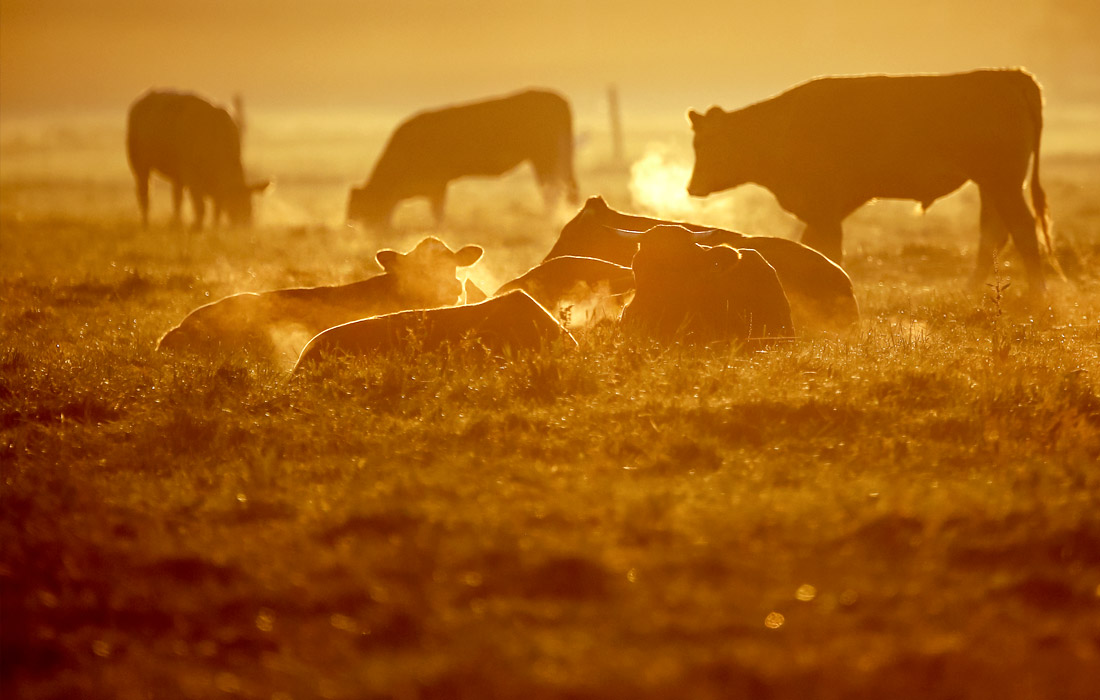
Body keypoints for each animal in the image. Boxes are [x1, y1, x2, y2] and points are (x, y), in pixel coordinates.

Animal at [127, 90, 269, 230]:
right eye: (235, 203)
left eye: (251, 205)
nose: (245, 224)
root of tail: (141, 101)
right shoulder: (192, 175)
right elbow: (200, 206)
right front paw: (197, 227)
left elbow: (216, 207)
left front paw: (214, 227)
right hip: (139, 164)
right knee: (144, 194)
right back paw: (146, 225)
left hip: (176, 174)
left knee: (177, 198)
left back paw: (177, 224)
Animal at [347, 89, 579, 228]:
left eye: (364, 212)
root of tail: (557, 98)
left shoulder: (437, 185)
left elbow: (438, 213)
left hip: (545, 159)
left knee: (553, 191)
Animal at [686, 69, 1053, 293]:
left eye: (703, 142)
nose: (692, 187)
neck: (779, 128)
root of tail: (1005, 75)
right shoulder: (822, 212)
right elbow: (813, 244)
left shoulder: (825, 209)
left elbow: (829, 249)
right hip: (991, 185)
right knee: (992, 233)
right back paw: (970, 292)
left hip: (1003, 182)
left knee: (1022, 229)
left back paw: (1038, 297)